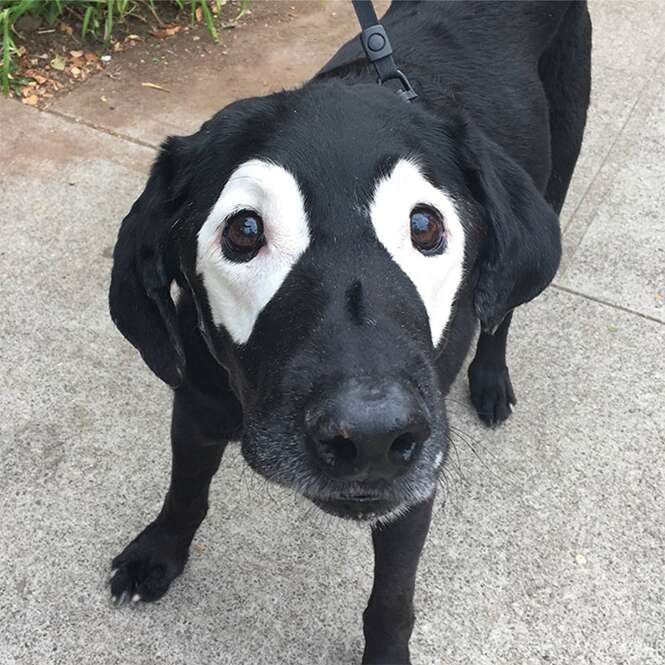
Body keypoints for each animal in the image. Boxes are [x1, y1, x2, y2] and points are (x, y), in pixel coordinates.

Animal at [109, 2, 592, 660]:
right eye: (243, 231)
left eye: (424, 225)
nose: (371, 435)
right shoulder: (196, 405)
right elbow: (185, 490)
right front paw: (159, 553)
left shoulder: (412, 491)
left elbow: (391, 600)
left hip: (559, 162)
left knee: (503, 310)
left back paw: (491, 377)